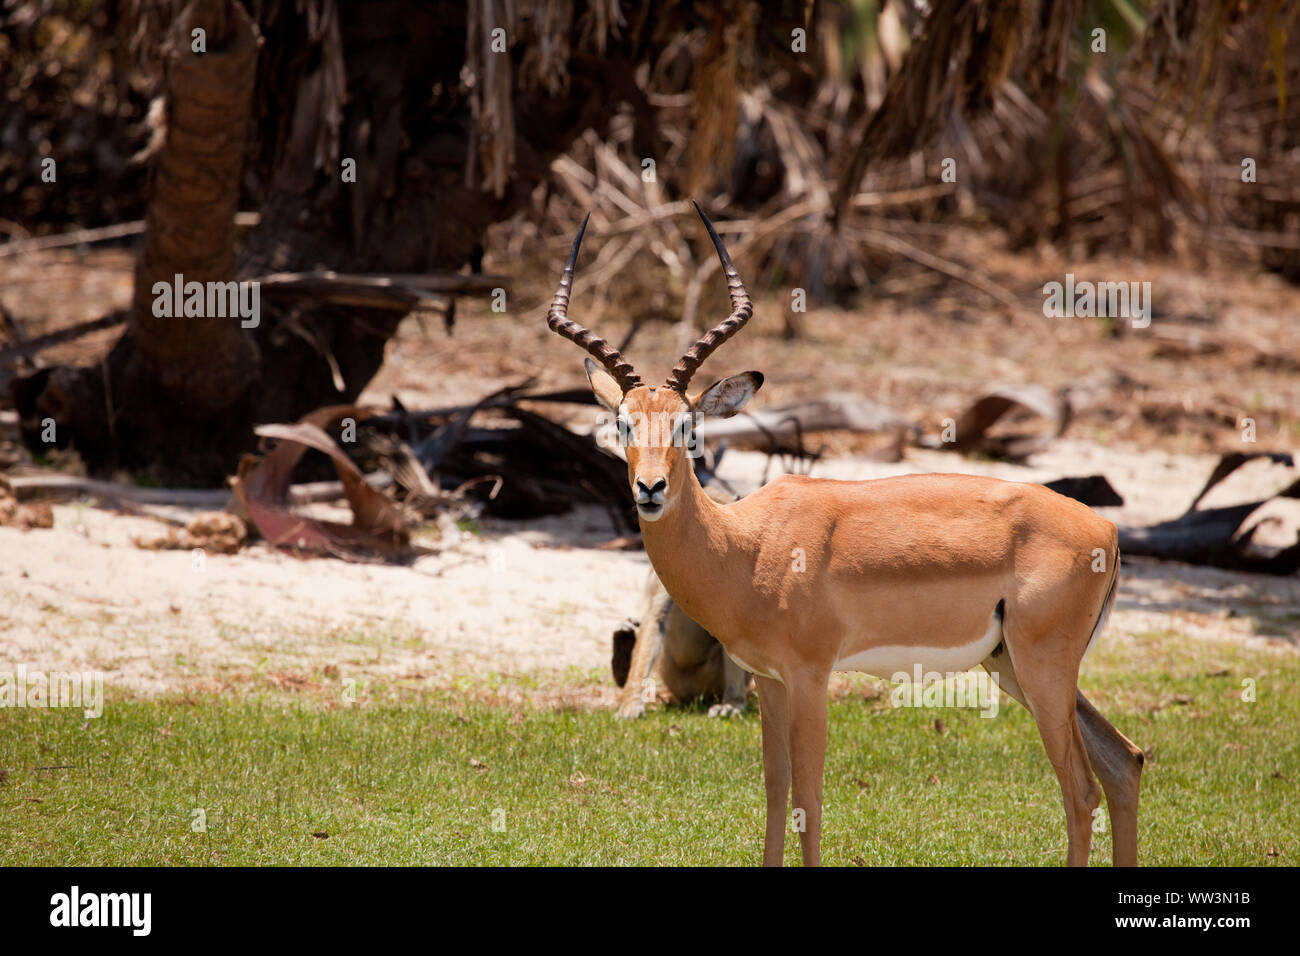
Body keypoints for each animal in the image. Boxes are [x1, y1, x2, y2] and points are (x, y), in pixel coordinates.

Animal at [545, 203, 1145, 866]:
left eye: (686, 425)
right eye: (623, 423)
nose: (649, 489)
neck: (748, 545)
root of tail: (1106, 529)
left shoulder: (811, 677)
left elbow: (810, 799)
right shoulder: (770, 681)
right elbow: (776, 792)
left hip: (1042, 671)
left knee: (1082, 791)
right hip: (1012, 666)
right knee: (1126, 762)